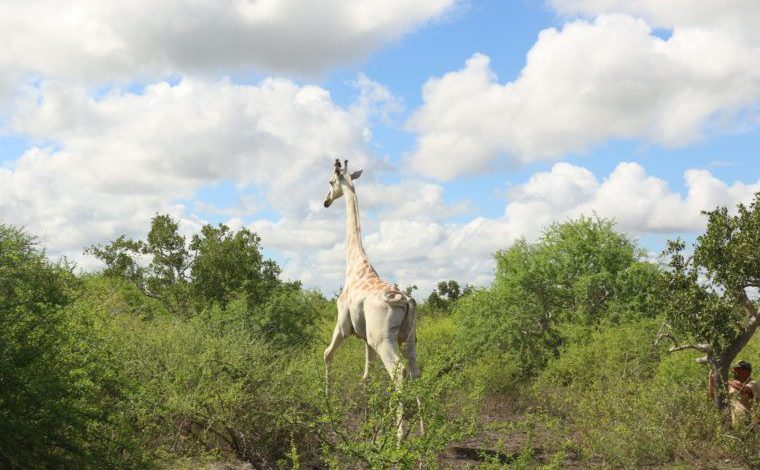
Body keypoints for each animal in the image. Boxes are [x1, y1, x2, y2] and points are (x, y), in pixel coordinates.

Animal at [322, 160, 422, 398]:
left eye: (330, 182)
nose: (326, 201)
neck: (355, 264)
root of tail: (406, 302)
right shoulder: (366, 339)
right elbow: (367, 375)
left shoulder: (342, 324)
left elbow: (327, 354)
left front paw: (327, 398)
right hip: (409, 337)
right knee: (414, 371)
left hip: (383, 338)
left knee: (398, 371)